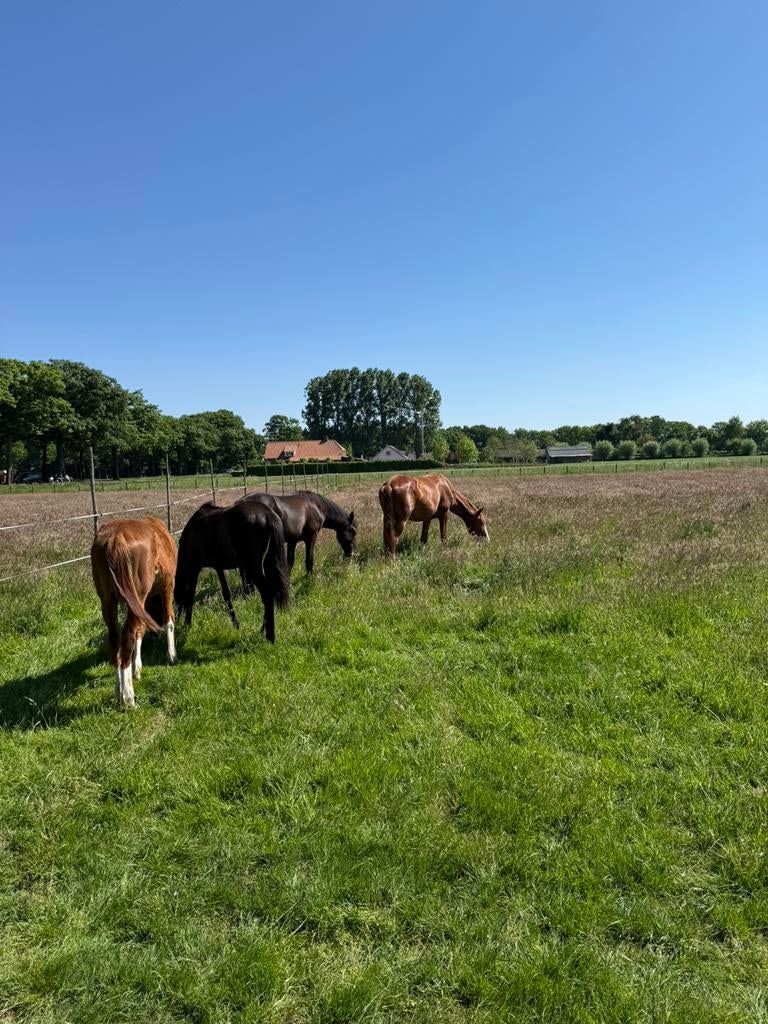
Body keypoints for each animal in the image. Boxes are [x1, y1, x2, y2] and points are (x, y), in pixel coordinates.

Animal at [90, 517, 177, 709]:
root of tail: (115, 538)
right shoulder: (168, 585)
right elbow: (168, 620)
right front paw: (172, 655)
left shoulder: (137, 603)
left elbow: (140, 629)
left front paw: (136, 667)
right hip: (137, 594)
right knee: (127, 635)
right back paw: (128, 697)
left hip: (107, 600)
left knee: (115, 638)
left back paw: (118, 692)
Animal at [174, 499, 290, 641]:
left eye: (176, 596)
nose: (176, 620)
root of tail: (268, 514)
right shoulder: (220, 568)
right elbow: (226, 594)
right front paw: (236, 625)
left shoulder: (193, 567)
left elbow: (190, 595)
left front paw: (187, 626)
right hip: (268, 564)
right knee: (271, 594)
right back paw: (263, 629)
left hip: (253, 568)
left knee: (267, 595)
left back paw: (270, 636)